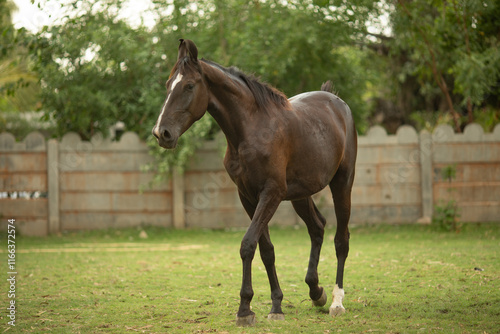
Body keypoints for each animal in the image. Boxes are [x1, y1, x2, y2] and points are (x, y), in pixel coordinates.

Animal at [151, 39, 356, 326]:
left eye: (189, 85)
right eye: (169, 84)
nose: (162, 133)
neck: (252, 130)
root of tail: (336, 102)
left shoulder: (271, 194)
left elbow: (248, 244)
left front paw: (245, 309)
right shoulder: (248, 196)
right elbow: (266, 249)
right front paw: (276, 305)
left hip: (342, 184)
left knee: (341, 239)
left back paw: (337, 301)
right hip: (300, 194)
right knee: (317, 227)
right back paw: (316, 292)